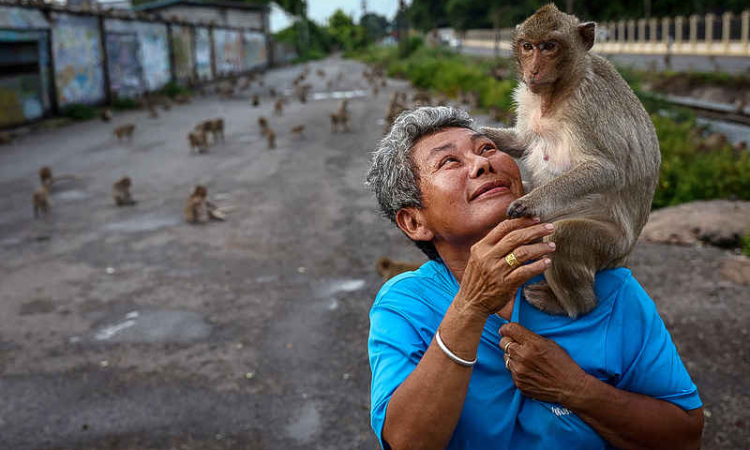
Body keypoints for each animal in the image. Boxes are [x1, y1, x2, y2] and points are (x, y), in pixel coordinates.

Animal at [482, 5, 664, 318]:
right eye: (528, 46)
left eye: (549, 47)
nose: (533, 70)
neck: (556, 94)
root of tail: (626, 254)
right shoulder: (529, 96)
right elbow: (521, 141)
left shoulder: (588, 106)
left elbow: (606, 170)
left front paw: (528, 202)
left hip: (610, 246)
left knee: (564, 235)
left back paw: (572, 305)